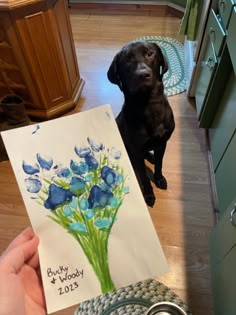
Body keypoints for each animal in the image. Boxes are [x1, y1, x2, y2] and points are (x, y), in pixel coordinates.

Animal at [108, 40, 174, 207]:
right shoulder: (136, 150)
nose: (143, 74)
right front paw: (149, 194)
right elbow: (144, 177)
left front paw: (159, 178)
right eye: (127, 59)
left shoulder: (162, 142)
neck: (148, 104)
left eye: (150, 53)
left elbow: (159, 164)